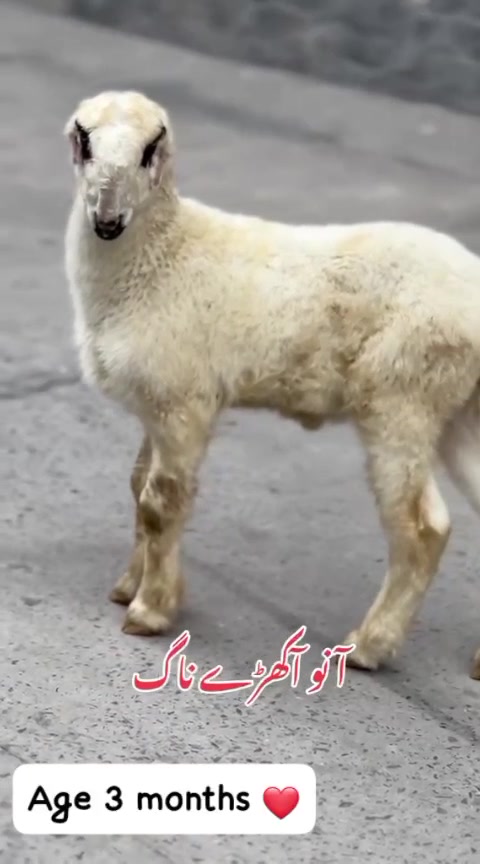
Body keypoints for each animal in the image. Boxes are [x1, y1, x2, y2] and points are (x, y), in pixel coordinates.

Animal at [64, 90, 480, 678]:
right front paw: (128, 588)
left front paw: (148, 612)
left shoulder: (184, 400)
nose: (107, 220)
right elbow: (137, 488)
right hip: (460, 410)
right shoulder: (158, 399)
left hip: (405, 397)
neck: (163, 253)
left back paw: (368, 647)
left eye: (149, 152)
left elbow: (160, 502)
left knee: (423, 528)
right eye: (84, 142)